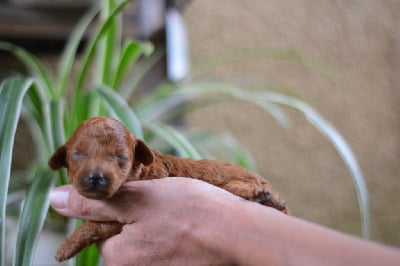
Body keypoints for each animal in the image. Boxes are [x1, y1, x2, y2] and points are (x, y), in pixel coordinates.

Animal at [49, 117, 288, 262]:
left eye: (120, 158)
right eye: (78, 155)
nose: (96, 177)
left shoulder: (117, 220)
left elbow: (92, 225)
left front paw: (65, 247)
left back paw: (260, 196)